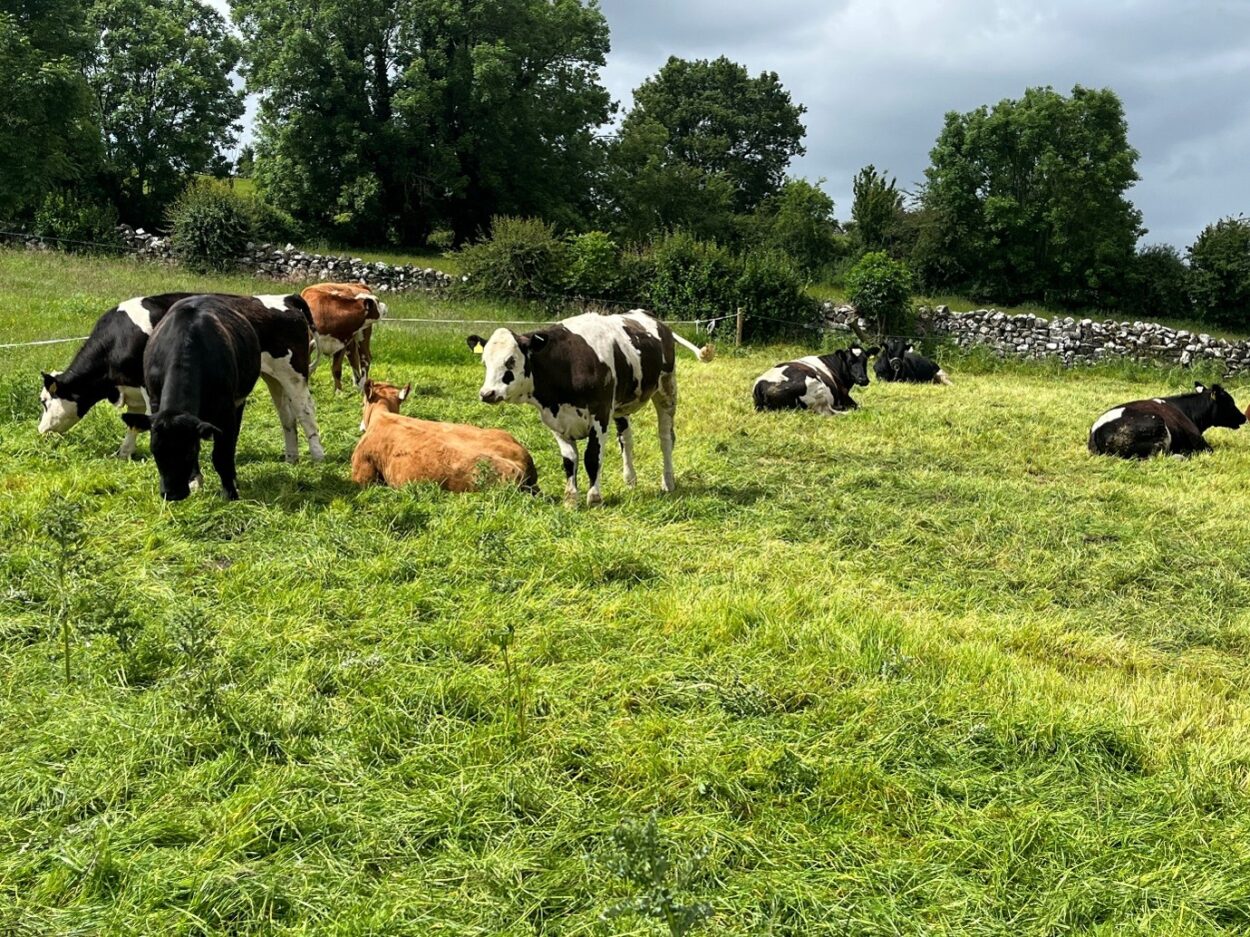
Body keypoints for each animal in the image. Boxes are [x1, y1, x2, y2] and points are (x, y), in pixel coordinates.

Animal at [39, 292, 323, 462]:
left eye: (44, 402)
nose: (40, 430)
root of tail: (286, 298)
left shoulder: (147, 386)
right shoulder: (132, 389)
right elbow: (133, 423)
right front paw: (124, 453)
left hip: (294, 373)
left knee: (305, 410)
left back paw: (318, 456)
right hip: (273, 376)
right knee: (287, 416)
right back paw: (291, 458)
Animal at [120, 296, 261, 501]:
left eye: (187, 452)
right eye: (155, 451)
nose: (172, 493)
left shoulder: (225, 410)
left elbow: (222, 454)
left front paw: (230, 492)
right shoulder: (155, 403)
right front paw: (194, 480)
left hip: (239, 402)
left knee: (233, 440)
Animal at [466, 309, 712, 505]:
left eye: (510, 361)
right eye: (485, 362)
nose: (487, 393)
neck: (566, 364)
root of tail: (656, 321)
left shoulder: (600, 413)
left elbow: (592, 457)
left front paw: (594, 497)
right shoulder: (555, 421)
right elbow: (569, 460)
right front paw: (570, 498)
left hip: (666, 389)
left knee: (666, 438)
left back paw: (668, 482)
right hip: (621, 405)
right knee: (626, 439)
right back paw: (630, 480)